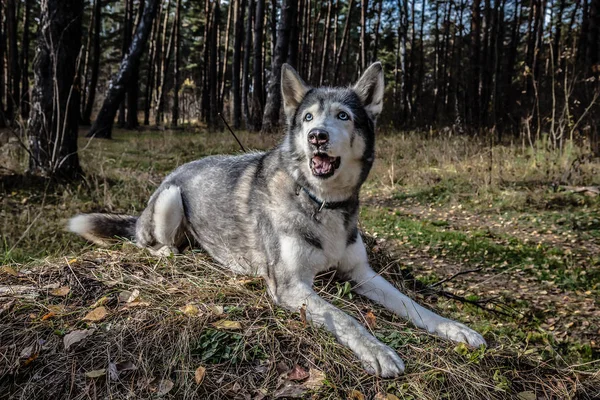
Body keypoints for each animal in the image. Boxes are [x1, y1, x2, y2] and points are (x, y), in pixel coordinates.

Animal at [70, 61, 486, 376]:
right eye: (308, 117)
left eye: (343, 116)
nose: (317, 136)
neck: (321, 202)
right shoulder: (290, 286)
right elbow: (346, 318)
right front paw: (378, 351)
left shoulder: (362, 274)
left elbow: (413, 305)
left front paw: (458, 330)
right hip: (171, 196)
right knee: (152, 244)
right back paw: (176, 252)